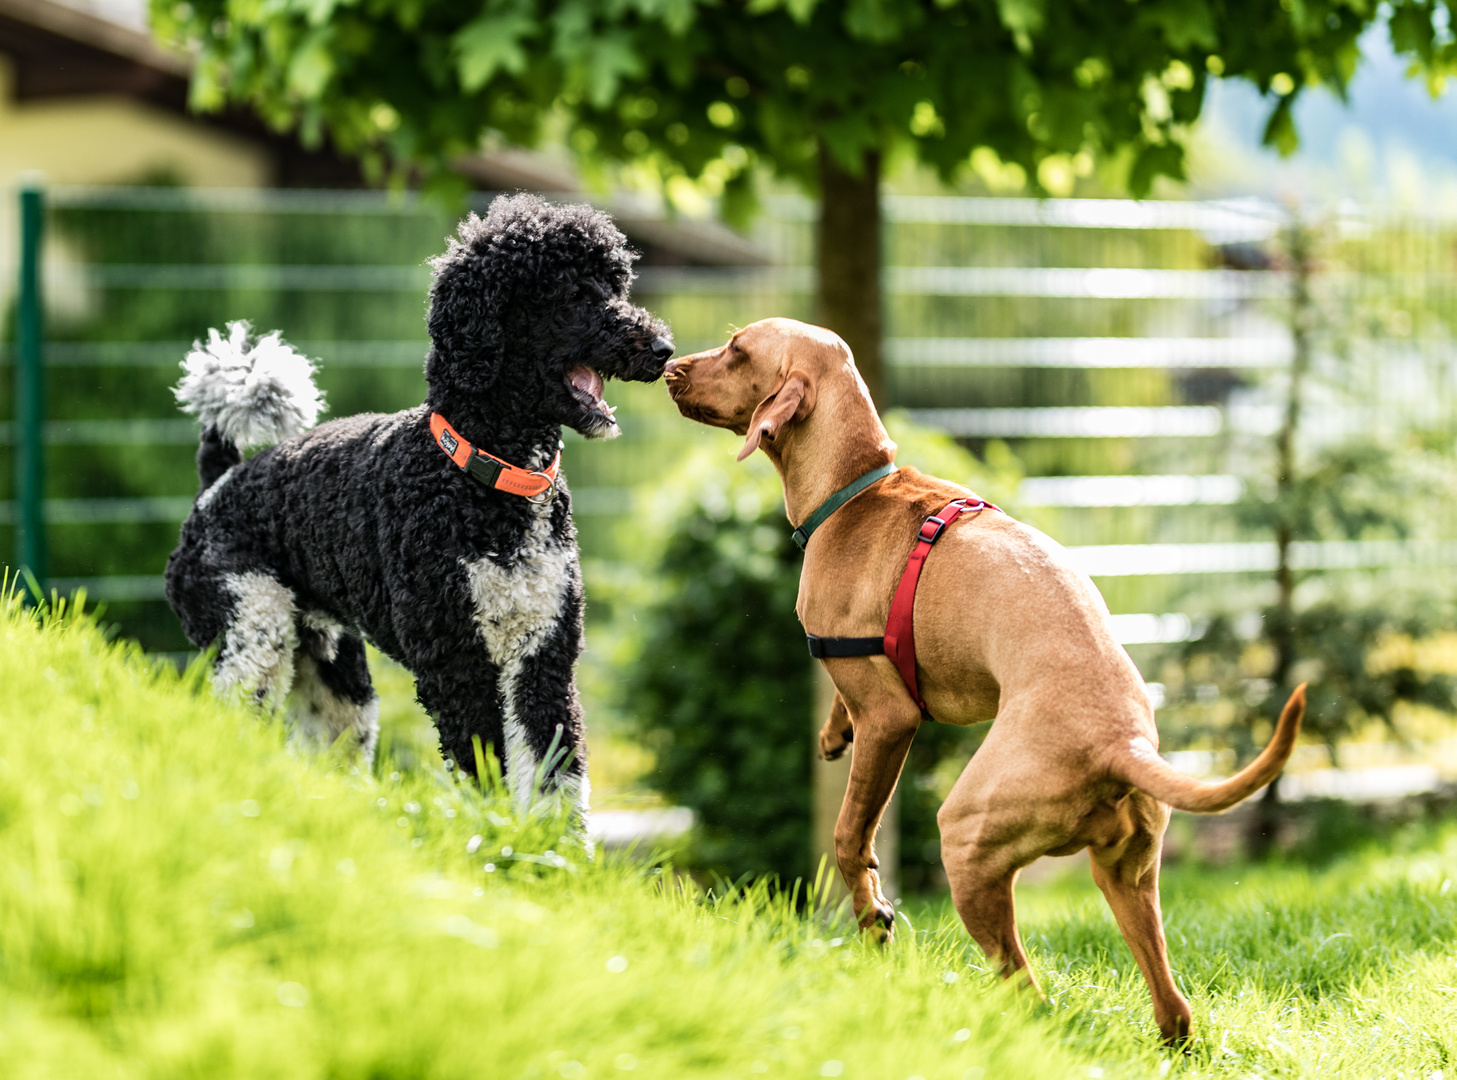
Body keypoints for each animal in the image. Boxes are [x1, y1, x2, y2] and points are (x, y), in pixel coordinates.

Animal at [163, 193, 670, 822]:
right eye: (574, 293)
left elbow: (556, 773)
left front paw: (550, 847)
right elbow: (484, 768)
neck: (486, 481)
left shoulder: (543, 654)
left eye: (616, 284)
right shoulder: (456, 663)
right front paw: (491, 835)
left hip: (337, 682)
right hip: (250, 631)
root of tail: (219, 482)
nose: (663, 349)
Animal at [667, 316, 1305, 1037]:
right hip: (1127, 874)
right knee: (1174, 1010)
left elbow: (849, 836)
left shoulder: (890, 720)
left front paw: (872, 915)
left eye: (737, 350)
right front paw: (832, 732)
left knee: (1028, 989)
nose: (667, 366)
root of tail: (1121, 744)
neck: (857, 489)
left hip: (968, 837)